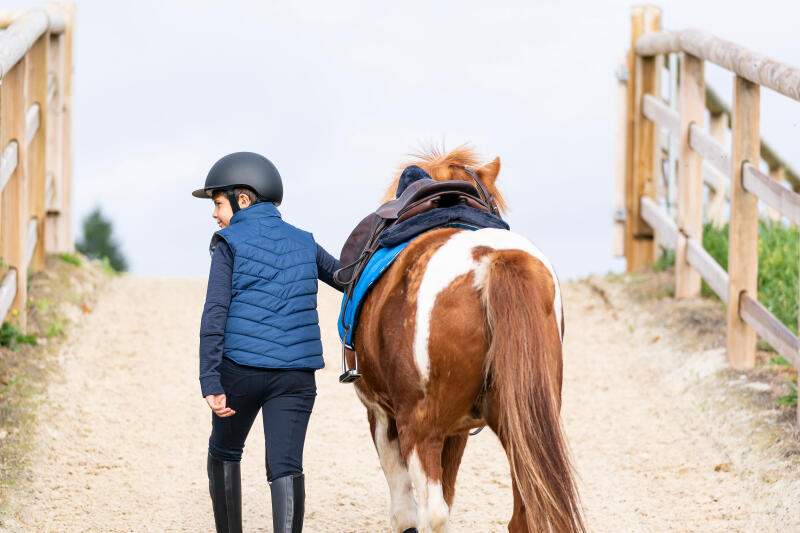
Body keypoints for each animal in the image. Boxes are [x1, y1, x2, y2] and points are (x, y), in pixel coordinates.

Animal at [346, 147, 584, 532]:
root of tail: (495, 260)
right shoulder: (456, 430)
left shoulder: (381, 414)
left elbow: (405, 511)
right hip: (522, 428)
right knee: (523, 515)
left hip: (420, 428)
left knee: (434, 513)